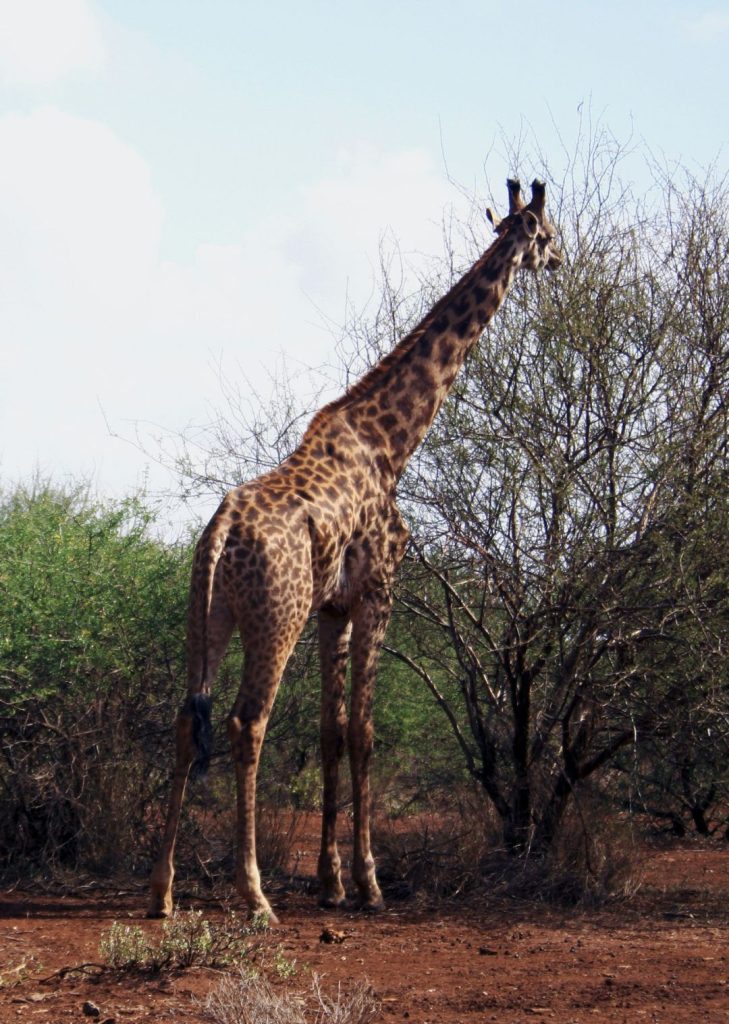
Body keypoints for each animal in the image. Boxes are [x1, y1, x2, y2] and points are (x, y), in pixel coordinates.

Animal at [146, 180, 556, 925]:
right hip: (275, 619)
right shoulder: (377, 591)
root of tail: (219, 534)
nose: (561, 262)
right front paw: (368, 884)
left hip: (207, 616)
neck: (392, 443)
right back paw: (254, 894)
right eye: (548, 234)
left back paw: (161, 890)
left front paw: (329, 882)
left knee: (188, 721)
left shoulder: (332, 607)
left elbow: (331, 732)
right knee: (247, 723)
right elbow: (364, 732)